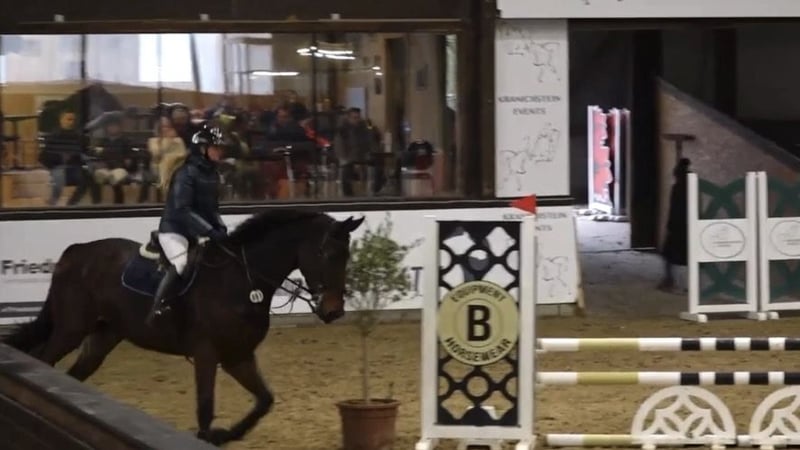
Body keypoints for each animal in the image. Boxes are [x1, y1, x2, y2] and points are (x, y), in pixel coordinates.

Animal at [3, 209, 364, 445]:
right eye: (326, 252)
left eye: (346, 255)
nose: (333, 311)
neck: (242, 281)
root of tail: (75, 252)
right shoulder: (207, 355)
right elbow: (205, 407)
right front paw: (209, 436)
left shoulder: (238, 357)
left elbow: (265, 400)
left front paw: (225, 435)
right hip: (70, 329)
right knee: (43, 360)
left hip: (102, 337)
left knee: (72, 375)